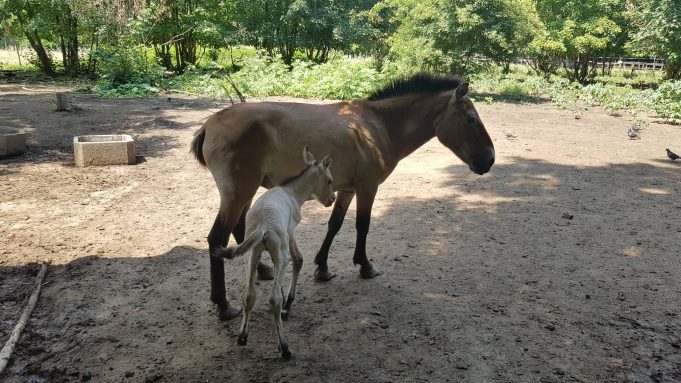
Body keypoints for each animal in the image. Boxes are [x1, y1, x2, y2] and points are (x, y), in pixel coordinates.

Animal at [191, 73, 494, 320]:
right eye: (470, 120)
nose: (490, 159)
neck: (378, 126)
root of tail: (210, 124)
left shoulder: (347, 189)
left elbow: (334, 225)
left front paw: (322, 267)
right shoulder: (367, 188)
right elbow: (363, 225)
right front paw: (365, 265)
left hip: (246, 193)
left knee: (242, 229)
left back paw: (263, 269)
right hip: (238, 192)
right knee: (217, 238)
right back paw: (223, 304)